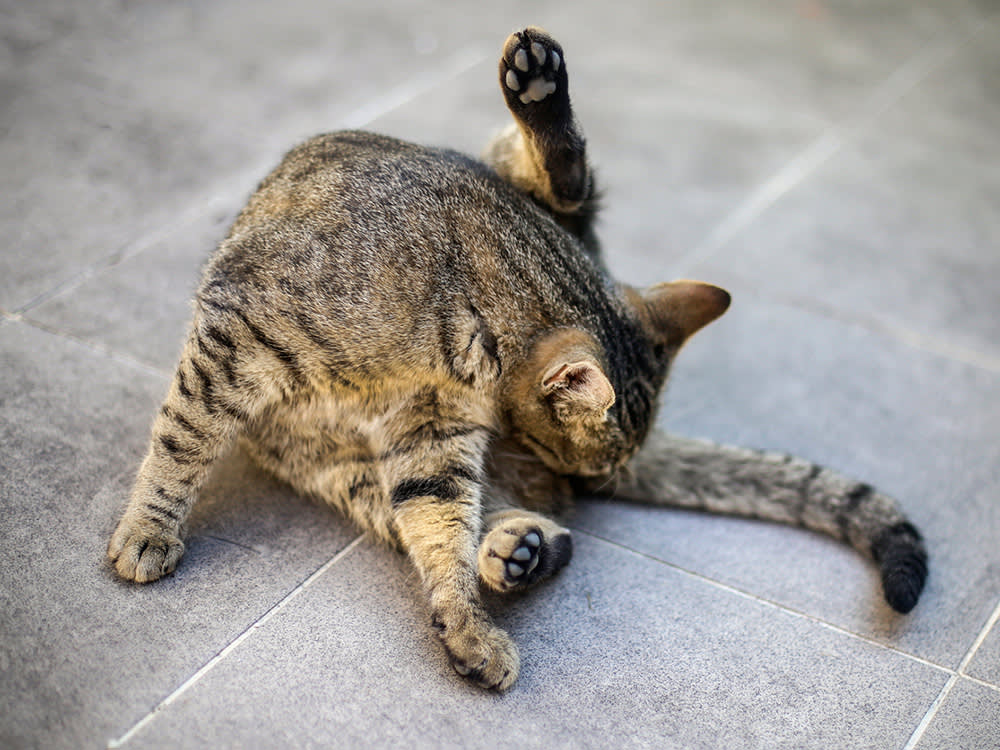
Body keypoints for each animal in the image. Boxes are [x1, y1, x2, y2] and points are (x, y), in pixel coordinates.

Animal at [105, 27, 924, 692]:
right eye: (582, 457)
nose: (593, 480)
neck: (450, 339)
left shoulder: (429, 431)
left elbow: (440, 521)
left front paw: (466, 625)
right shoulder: (239, 329)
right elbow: (183, 438)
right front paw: (149, 531)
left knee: (565, 182)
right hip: (336, 463)